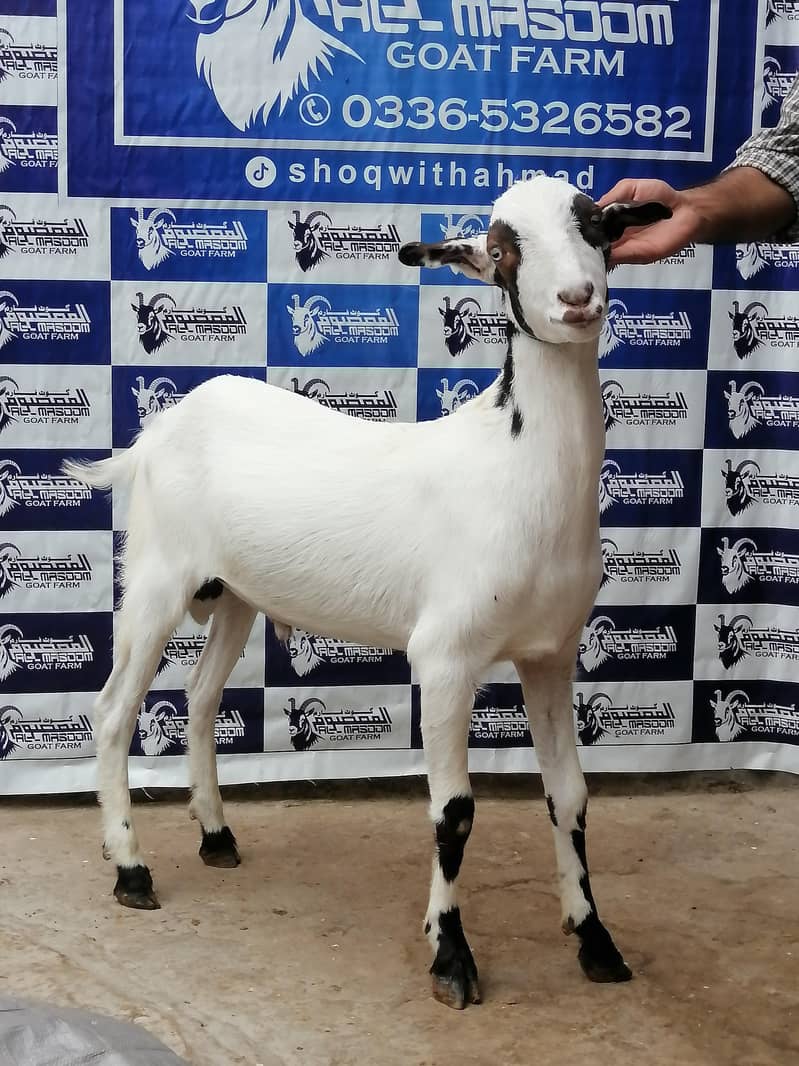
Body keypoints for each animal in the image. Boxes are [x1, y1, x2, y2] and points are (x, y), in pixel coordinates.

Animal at [63, 175, 669, 1010]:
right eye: (503, 251)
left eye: (599, 228)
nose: (578, 299)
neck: (513, 467)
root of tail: (157, 431)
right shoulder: (444, 658)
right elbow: (453, 812)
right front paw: (450, 958)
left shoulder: (551, 656)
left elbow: (570, 796)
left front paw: (595, 940)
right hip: (156, 578)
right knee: (115, 710)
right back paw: (130, 869)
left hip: (237, 593)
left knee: (200, 697)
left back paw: (216, 835)